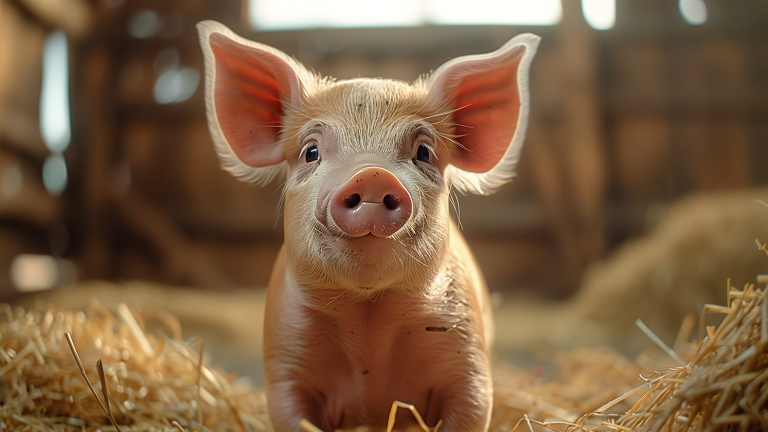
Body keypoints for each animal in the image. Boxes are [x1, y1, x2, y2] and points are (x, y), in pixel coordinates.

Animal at [197, 21, 539, 432]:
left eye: (424, 152)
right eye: (311, 152)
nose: (373, 175)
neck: (369, 328)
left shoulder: (469, 362)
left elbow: (472, 406)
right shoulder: (284, 365)